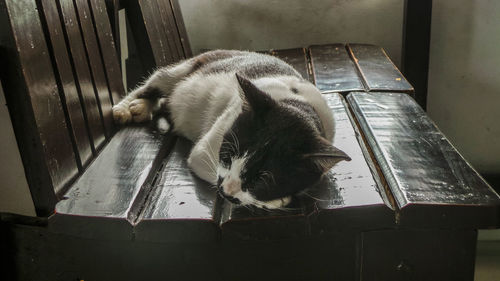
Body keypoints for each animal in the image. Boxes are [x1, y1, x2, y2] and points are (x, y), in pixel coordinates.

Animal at [111, 49, 350, 208]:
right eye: (226, 156)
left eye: (262, 180)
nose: (226, 192)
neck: (296, 102)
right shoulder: (207, 149)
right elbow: (205, 162)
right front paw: (277, 200)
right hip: (185, 69)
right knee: (156, 81)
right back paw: (127, 107)